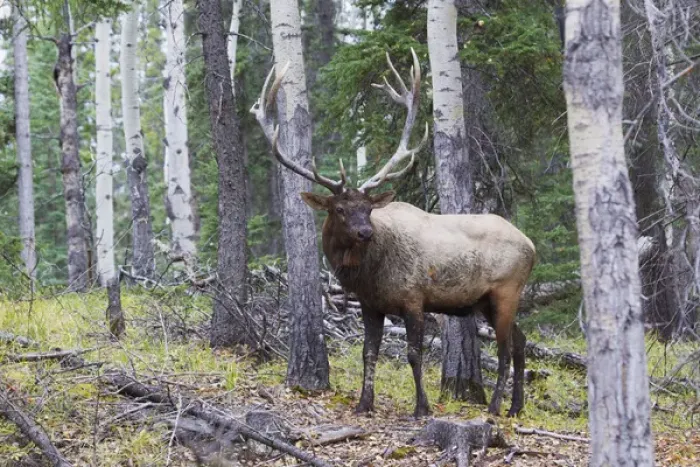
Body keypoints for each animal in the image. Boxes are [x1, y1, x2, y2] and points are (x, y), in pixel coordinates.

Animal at [250, 49, 536, 418]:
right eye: (339, 209)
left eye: (369, 208)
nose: (365, 232)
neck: (368, 275)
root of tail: (531, 245)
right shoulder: (370, 305)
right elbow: (368, 353)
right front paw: (363, 404)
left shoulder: (414, 299)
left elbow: (413, 354)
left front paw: (422, 408)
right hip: (487, 300)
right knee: (521, 340)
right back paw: (516, 406)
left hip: (506, 290)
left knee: (504, 349)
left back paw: (496, 406)